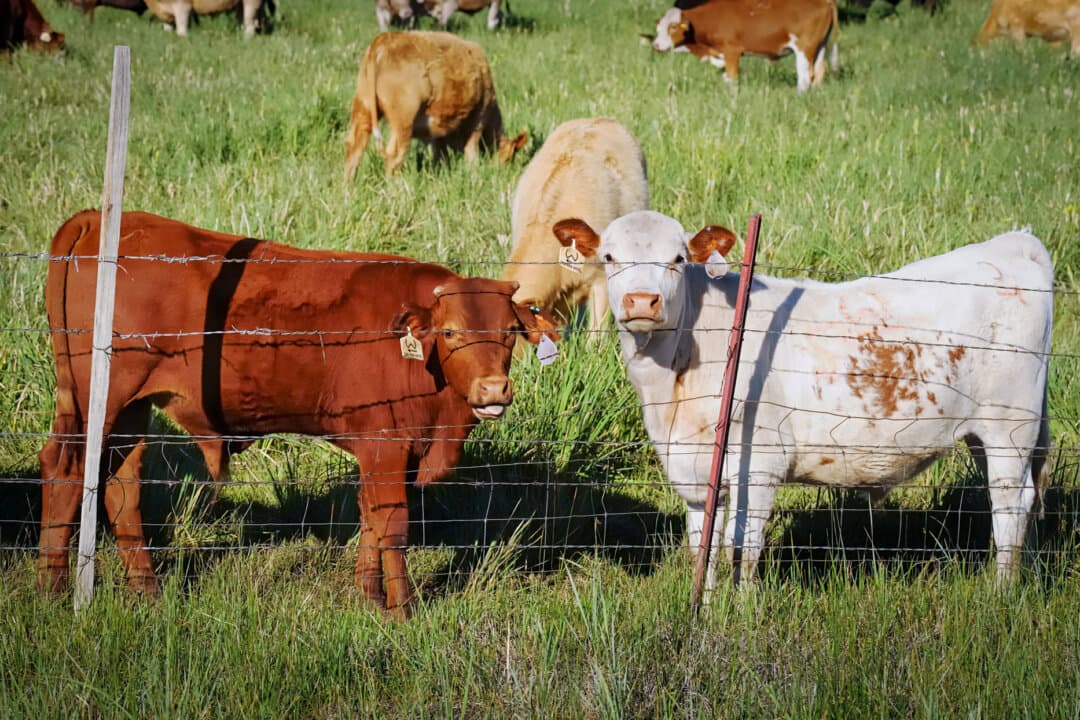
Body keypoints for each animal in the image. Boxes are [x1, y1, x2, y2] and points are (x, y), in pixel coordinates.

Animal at [37, 210, 558, 618]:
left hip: (129, 408)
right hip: (99, 403)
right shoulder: (386, 448)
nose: (493, 388)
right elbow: (392, 526)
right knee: (67, 469)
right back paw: (54, 587)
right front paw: (402, 609)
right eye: (450, 332)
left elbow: (370, 518)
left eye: (509, 332)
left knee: (122, 484)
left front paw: (369, 595)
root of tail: (100, 219)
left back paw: (146, 591)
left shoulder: (389, 452)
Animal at [344, 31, 527, 178]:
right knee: (394, 156)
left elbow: (440, 158)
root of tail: (384, 40)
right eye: (508, 159)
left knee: (354, 149)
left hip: (363, 108)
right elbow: (471, 155)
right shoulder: (478, 120)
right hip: (403, 120)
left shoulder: (439, 133)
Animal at [555, 210, 1053, 589]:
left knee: (1010, 505)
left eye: (677, 258)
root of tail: (1015, 243)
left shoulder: (759, 465)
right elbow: (705, 549)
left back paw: (1000, 592)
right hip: (985, 433)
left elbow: (743, 548)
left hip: (1010, 429)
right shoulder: (696, 474)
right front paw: (707, 608)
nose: (643, 301)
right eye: (610, 256)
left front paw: (741, 613)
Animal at [651, 0, 840, 92]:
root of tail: (825, 1)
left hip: (804, 48)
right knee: (818, 72)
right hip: (820, 46)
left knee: (805, 76)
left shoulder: (731, 51)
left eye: (673, 27)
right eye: (659, 28)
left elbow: (732, 79)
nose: (656, 45)